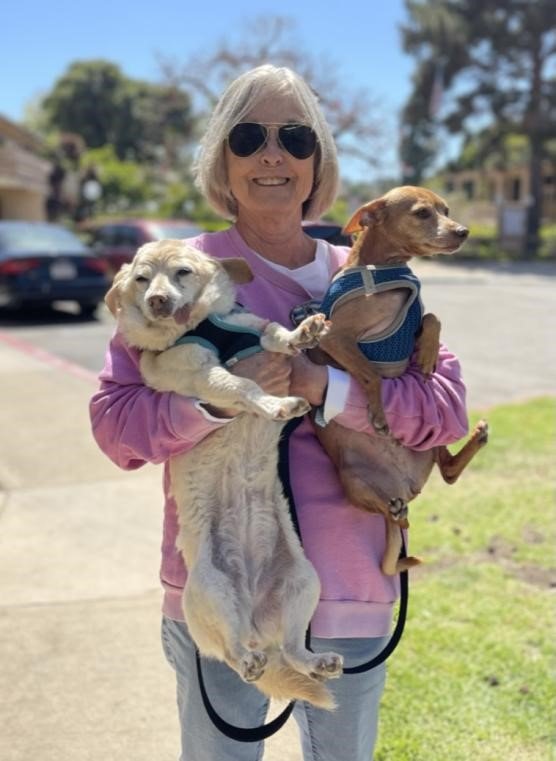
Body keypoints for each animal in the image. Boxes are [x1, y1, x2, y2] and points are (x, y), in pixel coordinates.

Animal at [102, 239, 340, 708]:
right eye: (141, 279)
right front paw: (275, 405)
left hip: (303, 582)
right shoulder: (203, 373)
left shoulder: (254, 328)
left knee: (293, 649)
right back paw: (246, 660)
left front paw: (301, 335)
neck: (204, 325)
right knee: (231, 652)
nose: (157, 301)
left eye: (182, 272)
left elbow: (276, 335)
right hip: (211, 593)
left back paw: (317, 661)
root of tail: (255, 625)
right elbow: (244, 387)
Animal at [310, 187, 488, 572]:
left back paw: (478, 438)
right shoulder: (334, 337)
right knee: (397, 519)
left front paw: (428, 353)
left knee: (448, 472)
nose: (464, 231)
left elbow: (432, 316)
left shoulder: (415, 316)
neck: (382, 270)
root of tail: (404, 486)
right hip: (353, 480)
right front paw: (378, 414)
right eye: (422, 213)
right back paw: (395, 510)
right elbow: (368, 373)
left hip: (429, 442)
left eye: (446, 210)